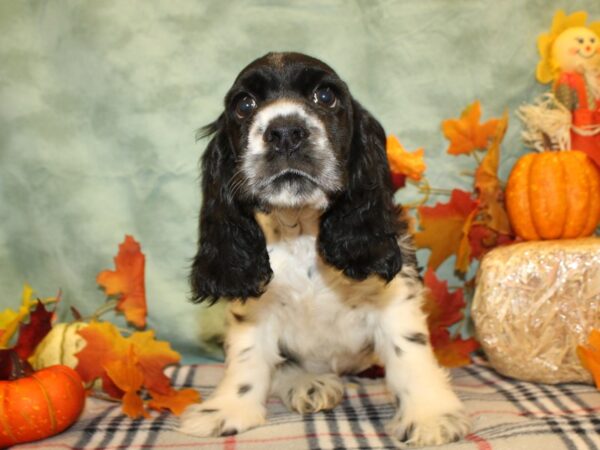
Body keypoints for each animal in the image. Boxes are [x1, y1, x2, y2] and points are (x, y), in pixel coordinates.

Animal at [180, 52, 472, 446]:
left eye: (325, 96)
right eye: (244, 105)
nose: (285, 132)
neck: (301, 228)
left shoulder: (394, 291)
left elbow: (408, 350)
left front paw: (430, 415)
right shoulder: (253, 304)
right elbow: (247, 357)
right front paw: (226, 410)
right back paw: (310, 383)